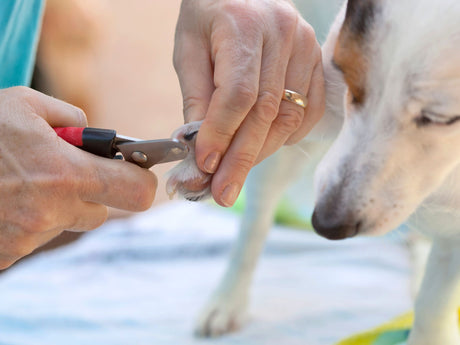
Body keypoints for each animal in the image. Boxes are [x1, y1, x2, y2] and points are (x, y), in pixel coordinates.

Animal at [167, 1, 460, 342]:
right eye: (352, 84)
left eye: (440, 118)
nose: (327, 224)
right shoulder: (323, 84)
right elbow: (274, 113)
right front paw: (198, 157)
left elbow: (434, 299)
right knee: (254, 226)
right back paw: (227, 299)